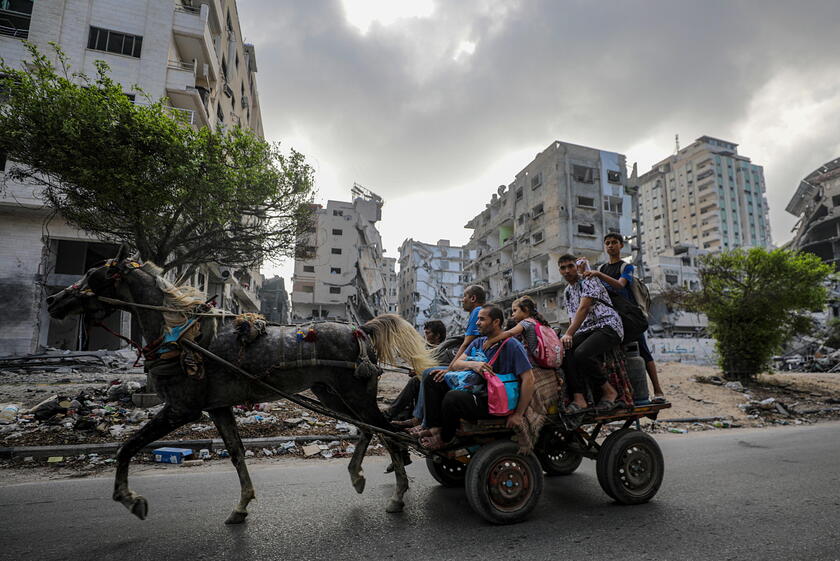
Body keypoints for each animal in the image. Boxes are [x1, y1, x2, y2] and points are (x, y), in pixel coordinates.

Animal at [46, 247, 436, 524]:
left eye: (94, 274)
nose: (53, 301)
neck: (180, 334)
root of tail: (360, 329)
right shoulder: (218, 407)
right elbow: (236, 453)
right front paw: (241, 506)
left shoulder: (181, 409)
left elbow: (127, 447)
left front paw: (131, 499)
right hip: (330, 393)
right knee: (370, 428)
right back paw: (358, 476)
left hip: (354, 393)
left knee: (387, 432)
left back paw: (398, 495)